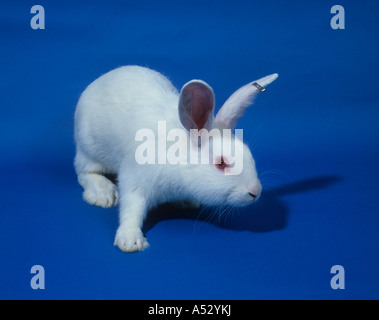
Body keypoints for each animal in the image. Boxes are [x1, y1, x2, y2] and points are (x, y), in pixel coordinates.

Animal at [74, 65, 278, 252]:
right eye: (221, 163)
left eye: (249, 154)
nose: (255, 192)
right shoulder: (136, 180)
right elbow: (132, 209)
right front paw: (130, 241)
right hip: (89, 150)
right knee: (84, 172)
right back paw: (103, 194)